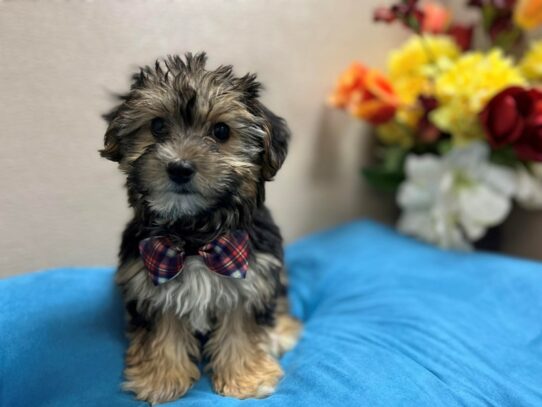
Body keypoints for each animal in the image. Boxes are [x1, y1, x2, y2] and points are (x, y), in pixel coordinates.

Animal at [101, 53, 302, 404]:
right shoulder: (149, 285)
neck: (194, 239)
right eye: (157, 126)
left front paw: (245, 379)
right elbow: (162, 333)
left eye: (221, 131)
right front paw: (161, 379)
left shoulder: (250, 283)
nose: (179, 168)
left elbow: (240, 331)